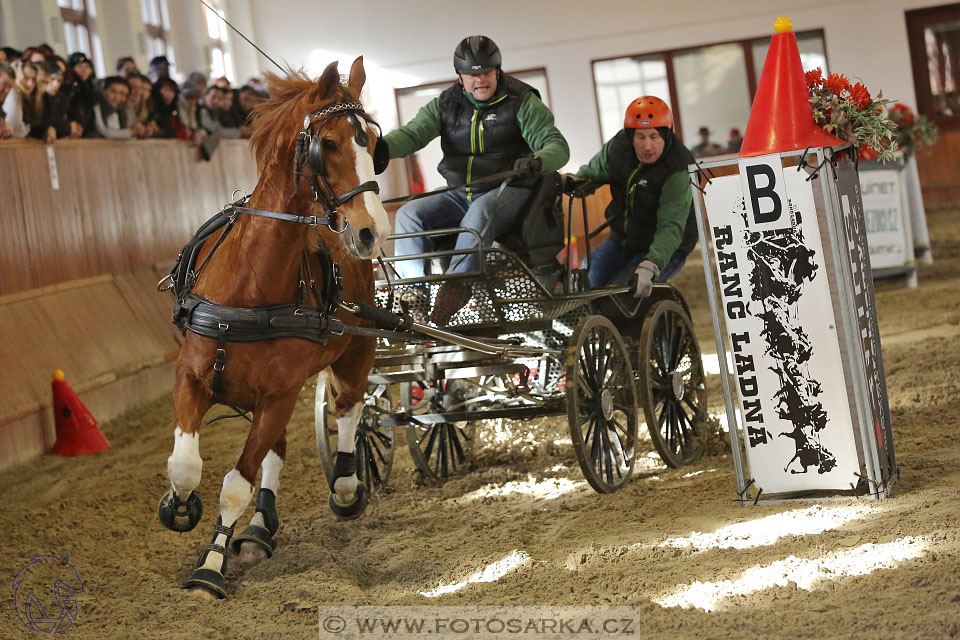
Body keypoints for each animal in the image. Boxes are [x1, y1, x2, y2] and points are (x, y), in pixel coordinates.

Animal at [159, 58, 392, 600]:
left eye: (374, 143)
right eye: (328, 143)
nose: (372, 231)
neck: (250, 286)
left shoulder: (281, 393)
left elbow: (235, 484)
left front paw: (210, 569)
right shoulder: (192, 377)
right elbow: (186, 467)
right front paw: (180, 508)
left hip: (355, 353)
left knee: (350, 408)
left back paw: (346, 485)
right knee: (279, 449)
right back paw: (261, 529)